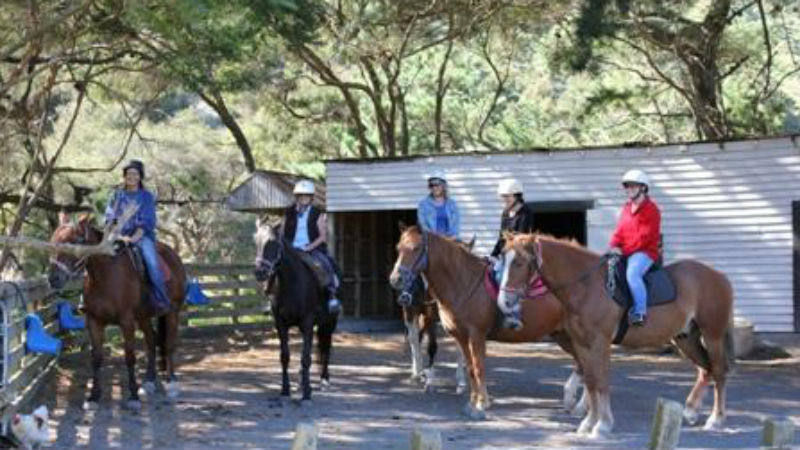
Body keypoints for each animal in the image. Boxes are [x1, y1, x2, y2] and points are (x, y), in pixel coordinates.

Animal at [48, 215, 188, 412]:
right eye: (53, 240)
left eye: (73, 242)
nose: (54, 279)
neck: (106, 276)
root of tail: (173, 256)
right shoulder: (94, 322)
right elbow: (97, 358)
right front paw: (93, 397)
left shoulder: (127, 321)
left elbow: (129, 357)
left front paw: (133, 396)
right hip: (144, 317)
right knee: (151, 341)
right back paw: (149, 381)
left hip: (172, 312)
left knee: (168, 345)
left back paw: (172, 382)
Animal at [253, 221, 334, 400]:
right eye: (256, 242)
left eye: (273, 243)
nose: (260, 272)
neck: (292, 283)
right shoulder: (281, 324)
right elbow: (285, 356)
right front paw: (285, 389)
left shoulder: (308, 322)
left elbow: (306, 358)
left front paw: (307, 392)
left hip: (329, 323)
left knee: (326, 348)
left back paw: (324, 380)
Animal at [390, 225, 584, 418]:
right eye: (398, 248)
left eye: (416, 248)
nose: (395, 279)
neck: (464, 282)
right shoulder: (461, 336)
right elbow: (470, 367)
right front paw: (472, 401)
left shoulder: (477, 334)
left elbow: (478, 366)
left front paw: (482, 403)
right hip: (562, 335)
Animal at [500, 234, 736, 438]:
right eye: (504, 259)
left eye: (519, 262)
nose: (504, 302)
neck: (586, 286)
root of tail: (720, 276)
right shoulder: (582, 344)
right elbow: (591, 381)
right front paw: (588, 423)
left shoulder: (600, 342)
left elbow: (602, 381)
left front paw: (602, 425)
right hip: (686, 338)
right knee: (705, 369)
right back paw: (690, 411)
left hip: (712, 335)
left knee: (719, 371)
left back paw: (716, 419)